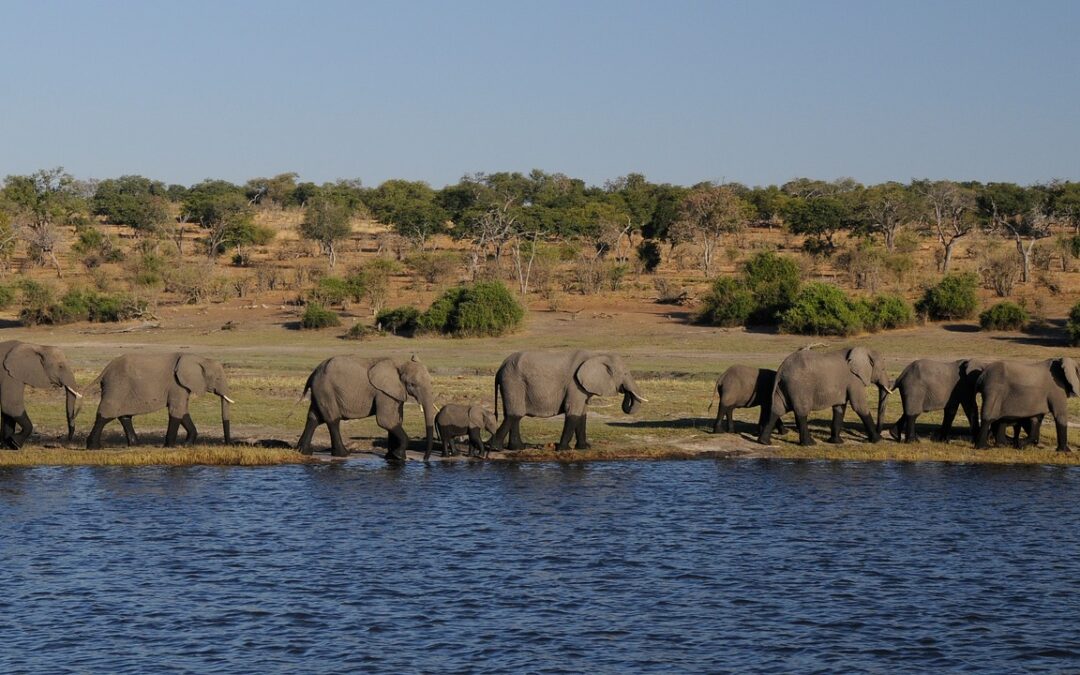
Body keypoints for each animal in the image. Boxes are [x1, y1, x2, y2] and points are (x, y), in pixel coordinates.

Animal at [85, 352, 234, 447]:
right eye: (218, 378)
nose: (228, 444)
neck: (200, 359)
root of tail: (105, 369)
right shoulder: (176, 384)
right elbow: (176, 410)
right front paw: (170, 446)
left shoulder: (182, 386)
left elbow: (183, 410)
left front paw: (186, 445)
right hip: (116, 386)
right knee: (105, 414)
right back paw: (93, 446)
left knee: (125, 416)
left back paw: (135, 445)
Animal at [295, 352, 434, 457]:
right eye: (412, 384)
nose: (425, 459)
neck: (401, 363)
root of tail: (313, 373)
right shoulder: (383, 392)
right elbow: (386, 421)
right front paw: (398, 455)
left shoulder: (395, 393)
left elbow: (396, 421)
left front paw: (393, 457)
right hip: (326, 390)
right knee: (332, 420)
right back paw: (343, 454)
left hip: (320, 391)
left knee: (314, 418)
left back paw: (303, 451)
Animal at [492, 349, 648, 449]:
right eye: (625, 373)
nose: (626, 392)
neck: (597, 354)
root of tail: (500, 368)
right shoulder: (574, 384)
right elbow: (573, 411)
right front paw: (563, 449)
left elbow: (582, 414)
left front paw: (585, 448)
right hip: (513, 382)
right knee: (515, 414)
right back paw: (495, 447)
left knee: (513, 414)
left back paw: (517, 448)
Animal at [756, 345, 889, 444]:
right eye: (883, 369)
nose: (880, 433)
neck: (864, 350)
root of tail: (781, 369)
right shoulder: (854, 380)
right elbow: (859, 406)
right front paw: (878, 440)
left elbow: (839, 408)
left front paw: (837, 442)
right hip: (798, 386)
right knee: (801, 412)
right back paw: (809, 443)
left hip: (783, 386)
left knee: (777, 410)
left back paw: (764, 442)